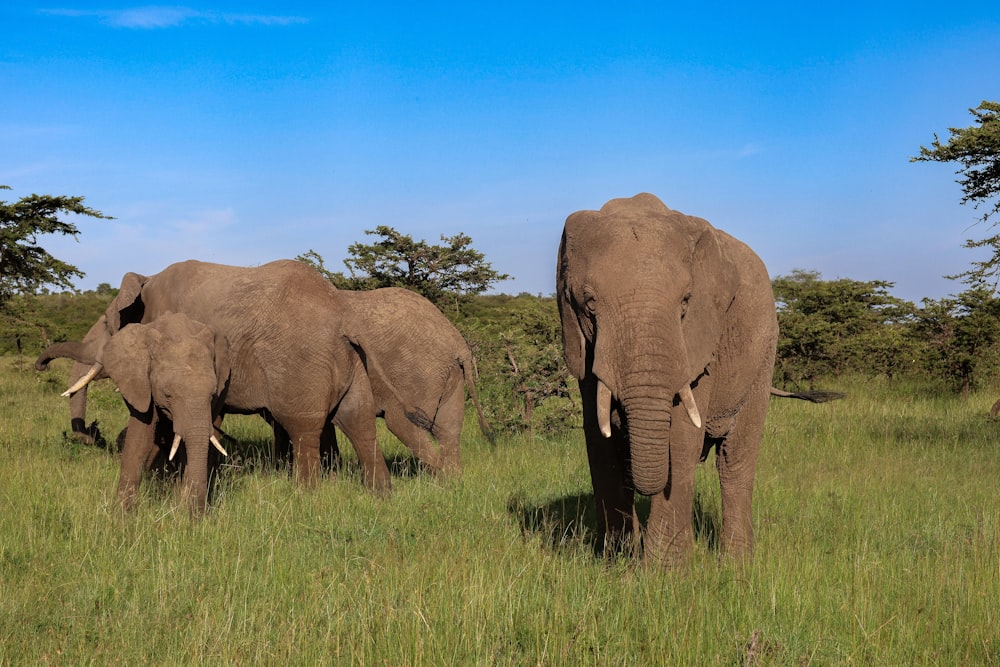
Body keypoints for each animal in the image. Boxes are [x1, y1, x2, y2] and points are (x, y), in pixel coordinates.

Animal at [36, 314, 229, 516]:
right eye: (168, 395)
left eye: (212, 394)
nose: (41, 365)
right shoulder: (140, 380)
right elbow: (140, 436)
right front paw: (122, 516)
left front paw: (185, 514)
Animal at [556, 193, 780, 568]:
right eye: (589, 303)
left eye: (686, 301)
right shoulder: (586, 350)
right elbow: (598, 440)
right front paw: (616, 563)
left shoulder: (700, 339)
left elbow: (683, 436)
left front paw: (664, 573)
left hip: (763, 354)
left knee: (734, 462)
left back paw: (737, 565)